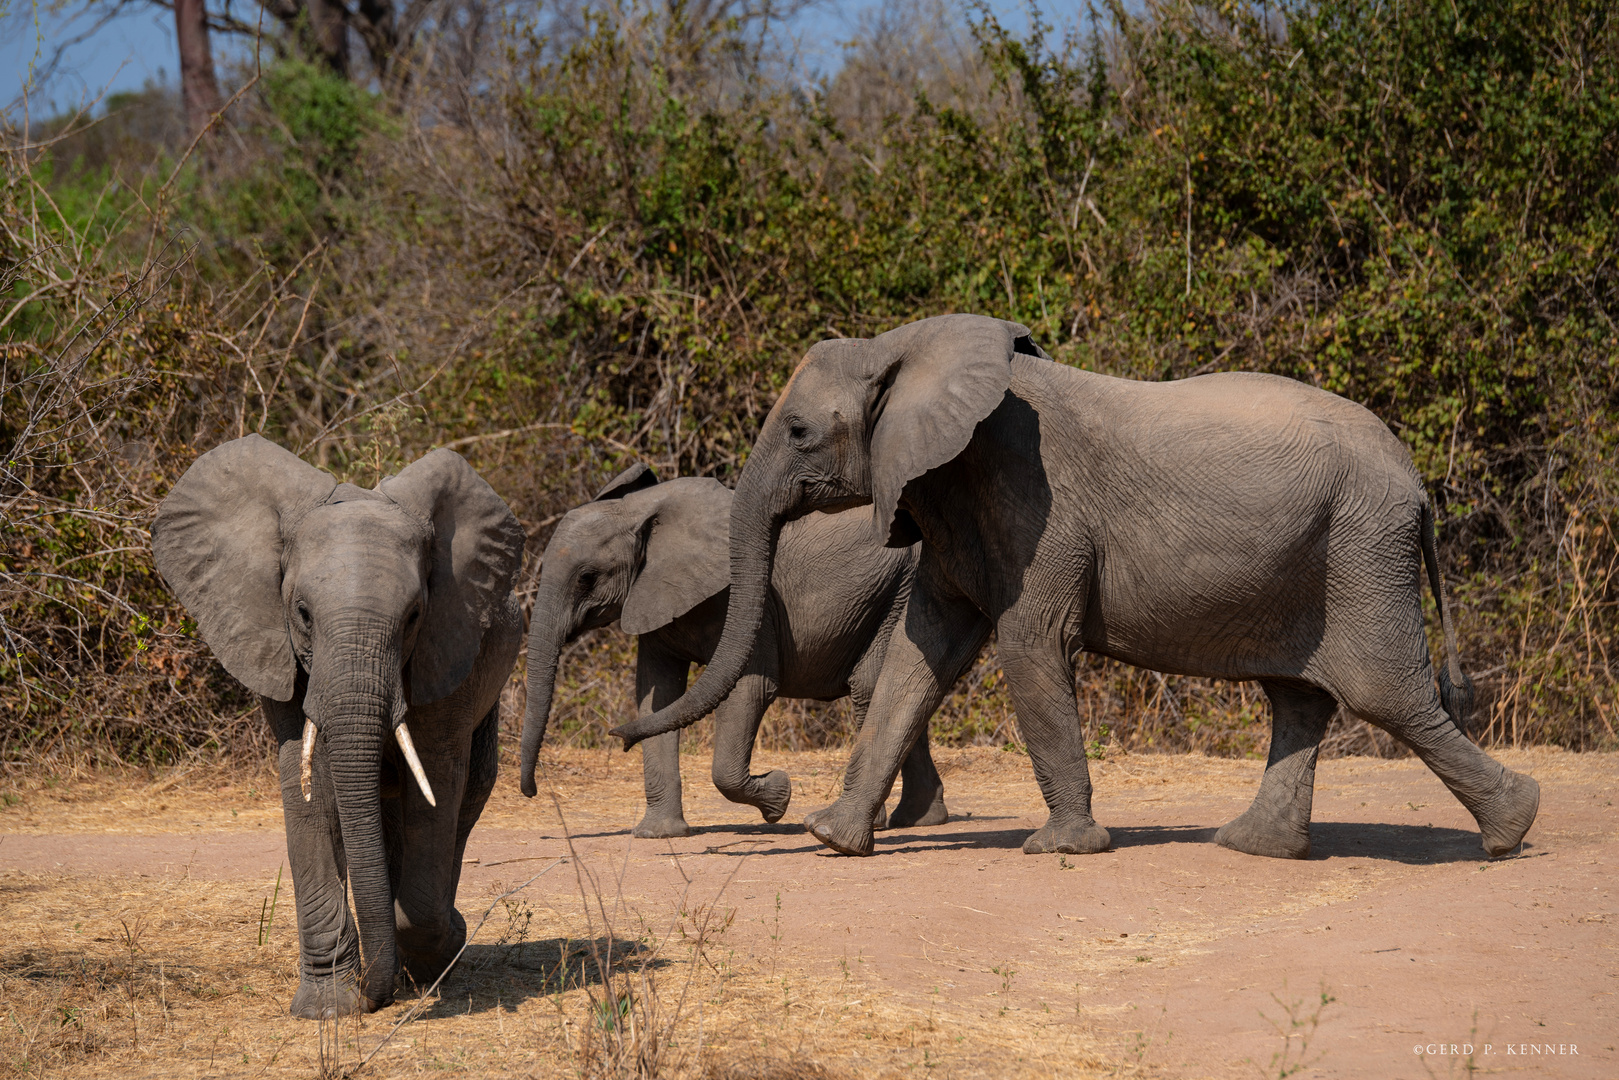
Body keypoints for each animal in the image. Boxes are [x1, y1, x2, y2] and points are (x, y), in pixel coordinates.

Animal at [149, 433, 521, 1016]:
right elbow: (311, 790)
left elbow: (436, 781)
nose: (374, 1000)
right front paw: (327, 1010)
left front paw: (435, 952)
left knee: (466, 797)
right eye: (302, 613)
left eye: (414, 617)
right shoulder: (274, 644)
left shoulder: (448, 647)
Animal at [518, 459, 945, 841]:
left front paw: (779, 797)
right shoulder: (654, 598)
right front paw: (657, 835)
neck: (642, 510)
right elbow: (657, 697)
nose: (532, 791)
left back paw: (880, 823)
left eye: (587, 578)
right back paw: (921, 820)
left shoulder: (746, 604)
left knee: (870, 687)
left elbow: (749, 689)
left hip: (899, 590)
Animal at [615, 312, 1541, 861]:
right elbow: (920, 658)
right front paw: (832, 839)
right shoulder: (953, 504)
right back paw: (1249, 847)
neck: (908, 350)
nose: (772, 801)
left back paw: (1513, 828)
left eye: (801, 432)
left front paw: (1060, 849)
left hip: (1360, 549)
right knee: (1298, 696)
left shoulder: (1035, 502)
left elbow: (1029, 645)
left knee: (1386, 693)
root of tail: (1416, 480)